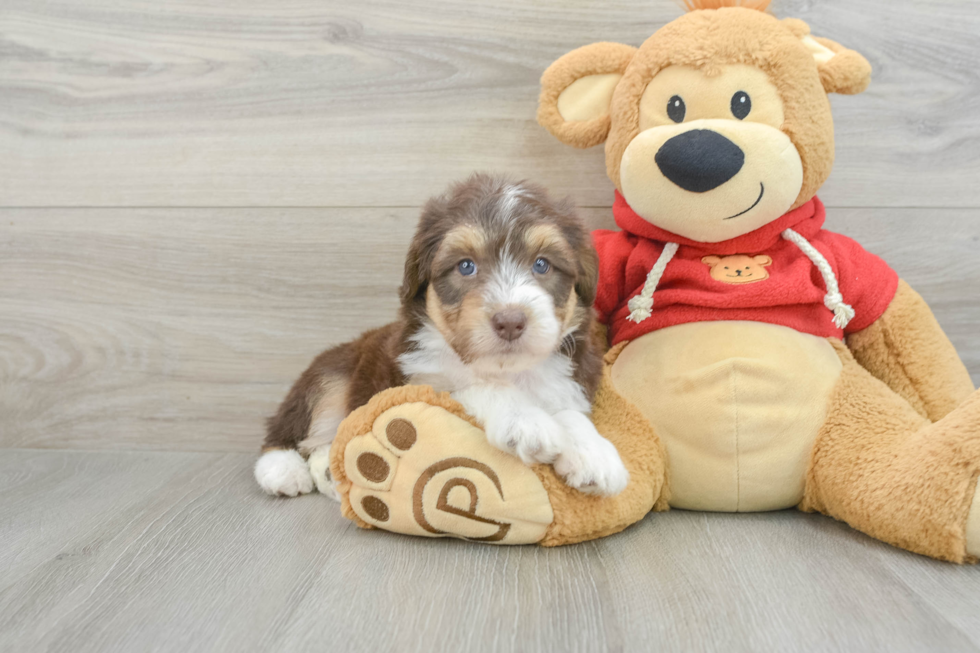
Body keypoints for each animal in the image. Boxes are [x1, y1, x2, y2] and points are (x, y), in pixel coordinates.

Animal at [255, 173, 628, 500]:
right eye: (465, 266)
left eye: (542, 265)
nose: (510, 321)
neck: (505, 370)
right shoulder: (418, 384)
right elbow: (480, 388)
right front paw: (526, 422)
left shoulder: (569, 381)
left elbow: (569, 412)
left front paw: (595, 455)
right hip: (328, 377)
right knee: (289, 428)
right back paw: (283, 470)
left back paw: (329, 474)